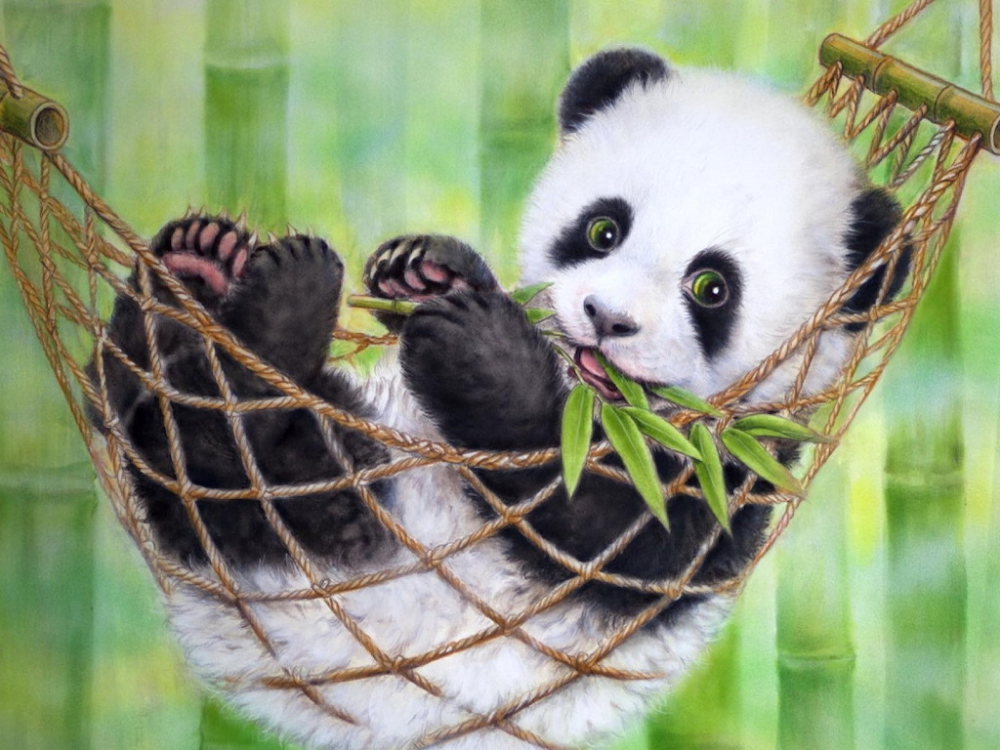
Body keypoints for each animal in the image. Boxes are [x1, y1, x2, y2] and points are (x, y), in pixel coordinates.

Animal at [93, 48, 904, 750]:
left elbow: (596, 527)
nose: (606, 319)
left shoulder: (725, 478)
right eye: (603, 229)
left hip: (337, 524)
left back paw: (274, 314)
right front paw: (427, 271)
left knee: (232, 462)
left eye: (711, 287)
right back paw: (194, 268)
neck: (595, 404)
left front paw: (478, 351)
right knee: (137, 401)